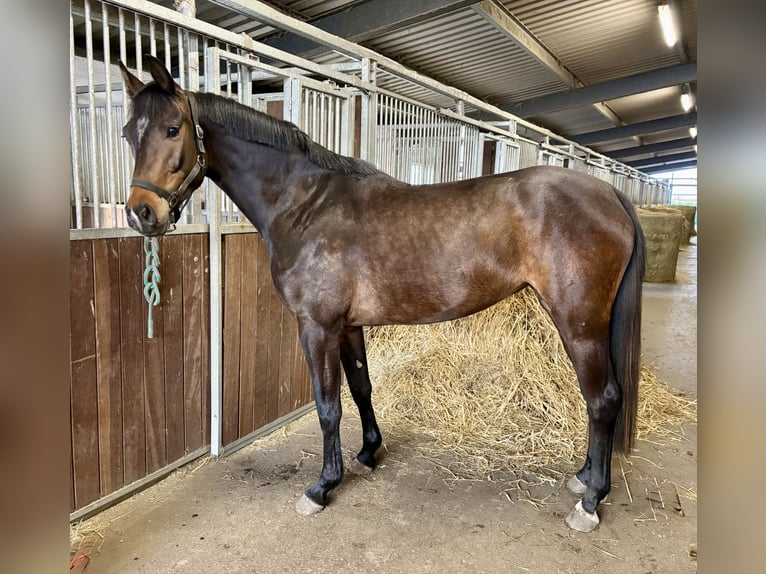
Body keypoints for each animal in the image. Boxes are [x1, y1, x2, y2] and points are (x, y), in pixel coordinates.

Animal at [119, 55, 645, 533]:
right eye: (127, 133)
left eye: (172, 129)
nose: (141, 214)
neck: (305, 205)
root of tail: (610, 194)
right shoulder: (348, 326)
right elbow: (361, 388)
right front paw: (369, 451)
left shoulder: (316, 327)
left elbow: (327, 405)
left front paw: (322, 486)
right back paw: (583, 478)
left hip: (579, 323)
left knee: (602, 399)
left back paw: (590, 501)